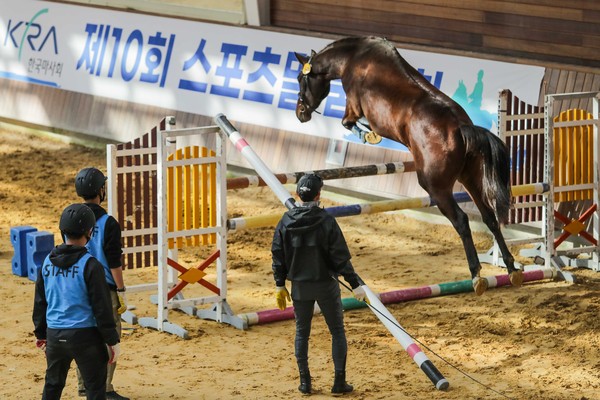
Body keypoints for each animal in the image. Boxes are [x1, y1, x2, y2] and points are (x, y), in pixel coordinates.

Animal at [292, 36, 524, 294]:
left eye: (300, 79)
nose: (300, 113)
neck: (354, 58)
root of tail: (461, 128)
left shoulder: (354, 106)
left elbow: (347, 122)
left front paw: (368, 135)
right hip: (470, 180)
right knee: (489, 217)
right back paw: (511, 268)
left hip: (436, 188)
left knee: (462, 221)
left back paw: (476, 274)